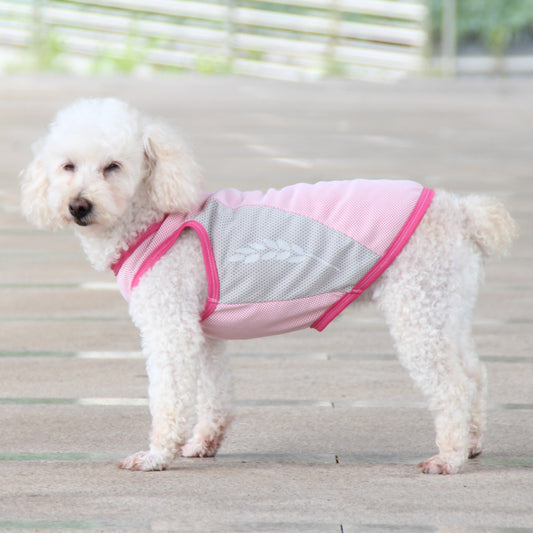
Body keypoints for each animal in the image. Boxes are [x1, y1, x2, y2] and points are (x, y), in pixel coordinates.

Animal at [19, 98, 516, 474]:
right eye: (67, 166)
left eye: (113, 167)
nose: (78, 206)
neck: (153, 218)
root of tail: (461, 211)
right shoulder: (203, 334)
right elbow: (215, 394)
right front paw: (203, 444)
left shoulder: (170, 329)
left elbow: (169, 398)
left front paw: (157, 455)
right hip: (443, 304)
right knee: (474, 374)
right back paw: (471, 443)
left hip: (417, 311)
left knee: (453, 386)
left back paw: (448, 458)